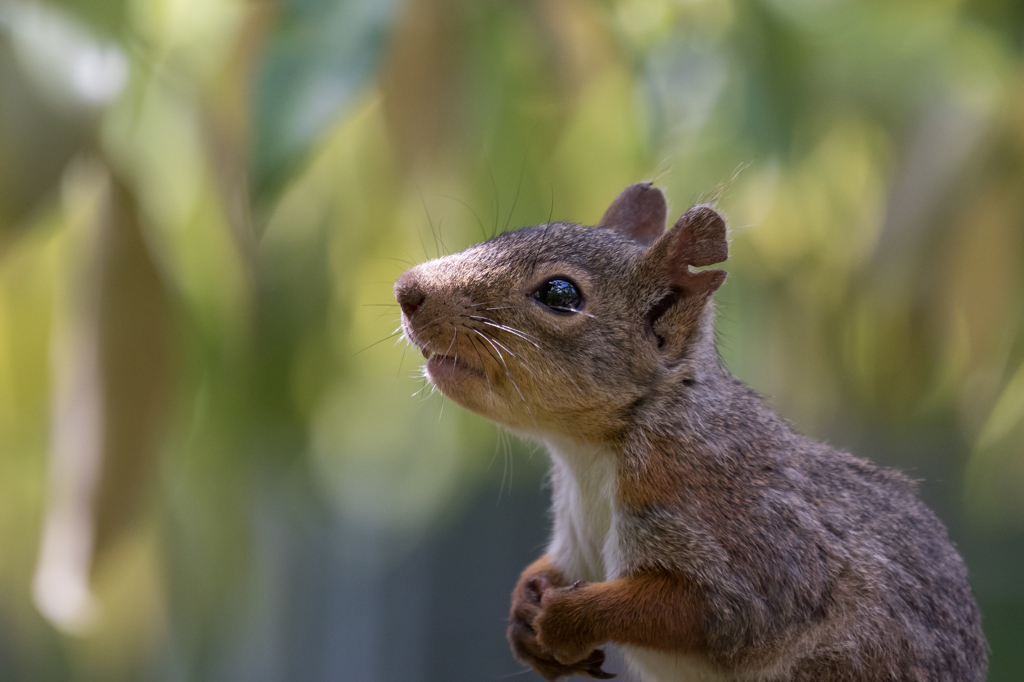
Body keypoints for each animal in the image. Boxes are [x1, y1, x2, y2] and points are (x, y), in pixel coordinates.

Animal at [395, 182, 987, 679]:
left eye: (560, 294)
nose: (406, 289)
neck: (587, 454)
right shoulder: (574, 535)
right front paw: (525, 611)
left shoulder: (743, 537)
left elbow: (713, 610)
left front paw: (567, 617)